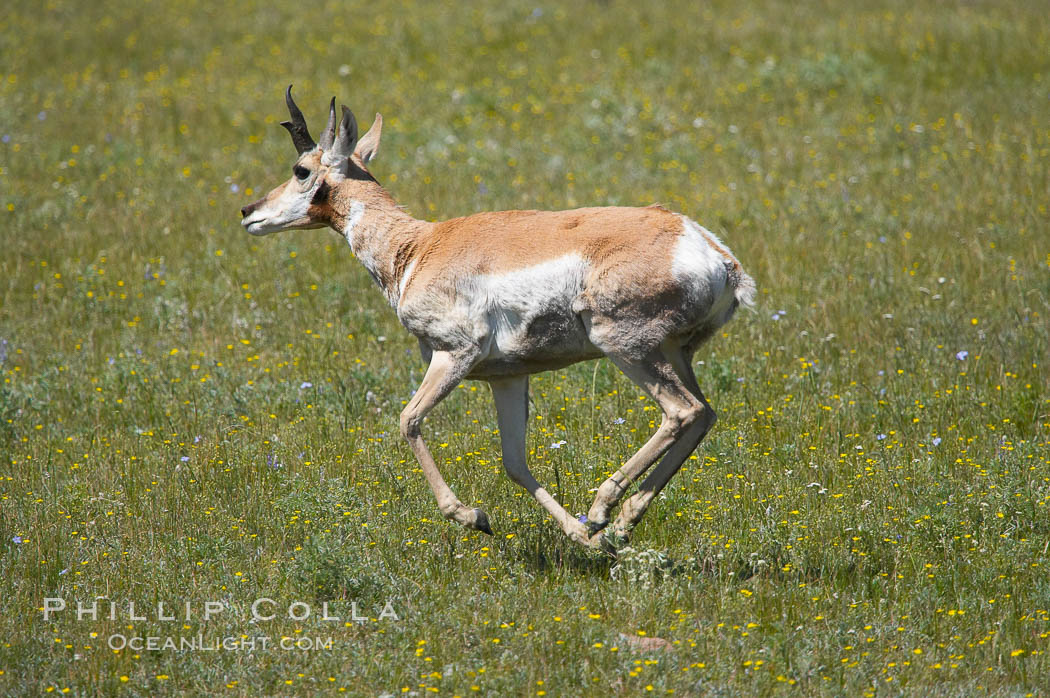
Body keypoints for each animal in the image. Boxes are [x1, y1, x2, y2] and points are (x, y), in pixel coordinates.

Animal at [243, 84, 755, 545]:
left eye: (300, 169)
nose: (249, 211)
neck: (419, 247)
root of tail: (709, 250)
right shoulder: (507, 377)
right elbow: (514, 462)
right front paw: (578, 535)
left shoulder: (454, 354)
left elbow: (408, 420)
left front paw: (473, 516)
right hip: (674, 352)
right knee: (705, 414)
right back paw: (619, 523)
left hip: (625, 347)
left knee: (682, 412)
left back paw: (603, 506)